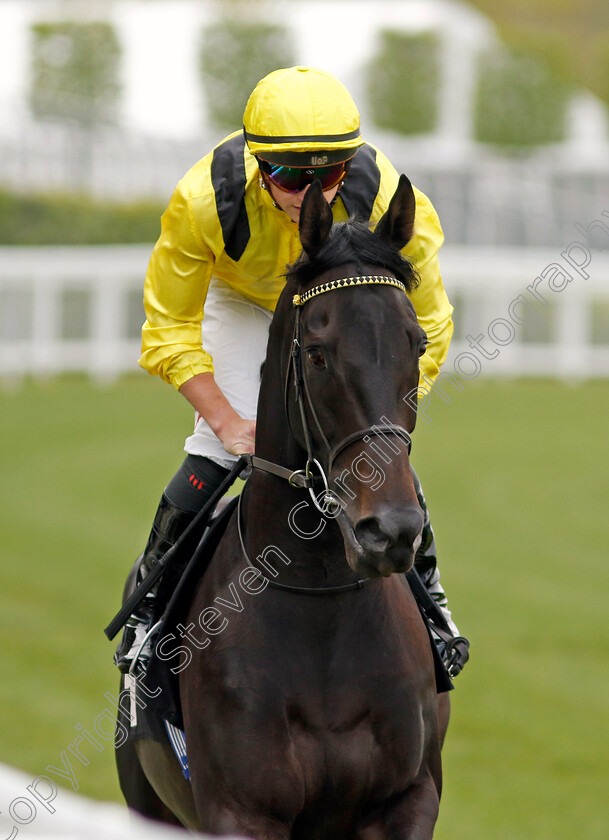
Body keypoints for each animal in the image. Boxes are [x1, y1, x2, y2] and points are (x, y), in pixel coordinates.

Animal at [119, 176, 448, 832]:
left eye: (418, 343)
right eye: (318, 353)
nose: (390, 530)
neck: (320, 604)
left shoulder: (409, 797)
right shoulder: (240, 811)